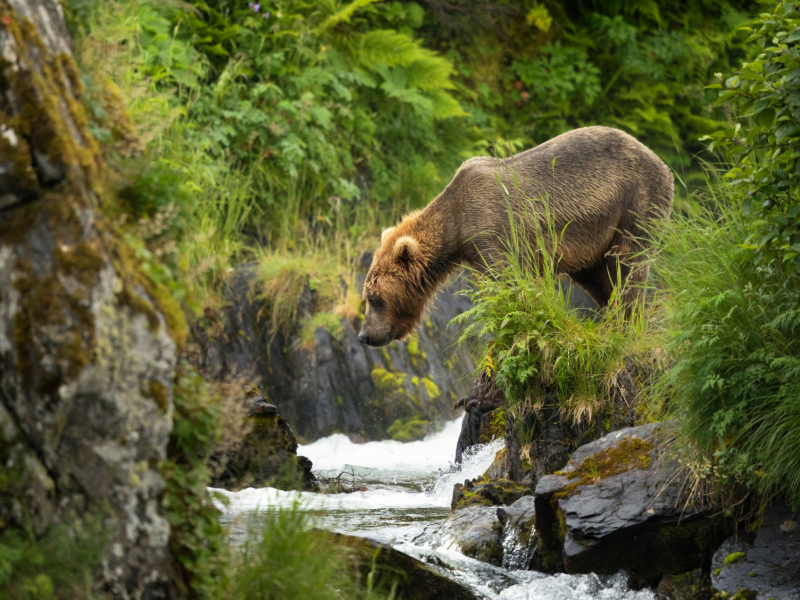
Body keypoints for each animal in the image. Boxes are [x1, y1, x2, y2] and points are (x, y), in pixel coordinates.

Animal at [360, 129, 672, 350]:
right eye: (368, 296)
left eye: (375, 298)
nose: (364, 335)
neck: (456, 226)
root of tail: (662, 162)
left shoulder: (493, 232)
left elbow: (511, 284)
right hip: (595, 239)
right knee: (598, 278)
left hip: (635, 201)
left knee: (628, 265)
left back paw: (628, 323)